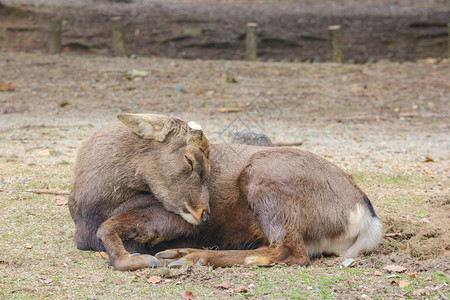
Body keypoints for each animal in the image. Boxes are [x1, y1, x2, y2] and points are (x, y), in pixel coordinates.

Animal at [69, 113, 384, 270]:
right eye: (190, 159)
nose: (205, 214)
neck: (89, 204)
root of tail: (367, 218)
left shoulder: (178, 221)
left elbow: (107, 228)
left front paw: (137, 260)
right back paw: (178, 253)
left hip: (266, 180)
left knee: (290, 252)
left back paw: (191, 257)